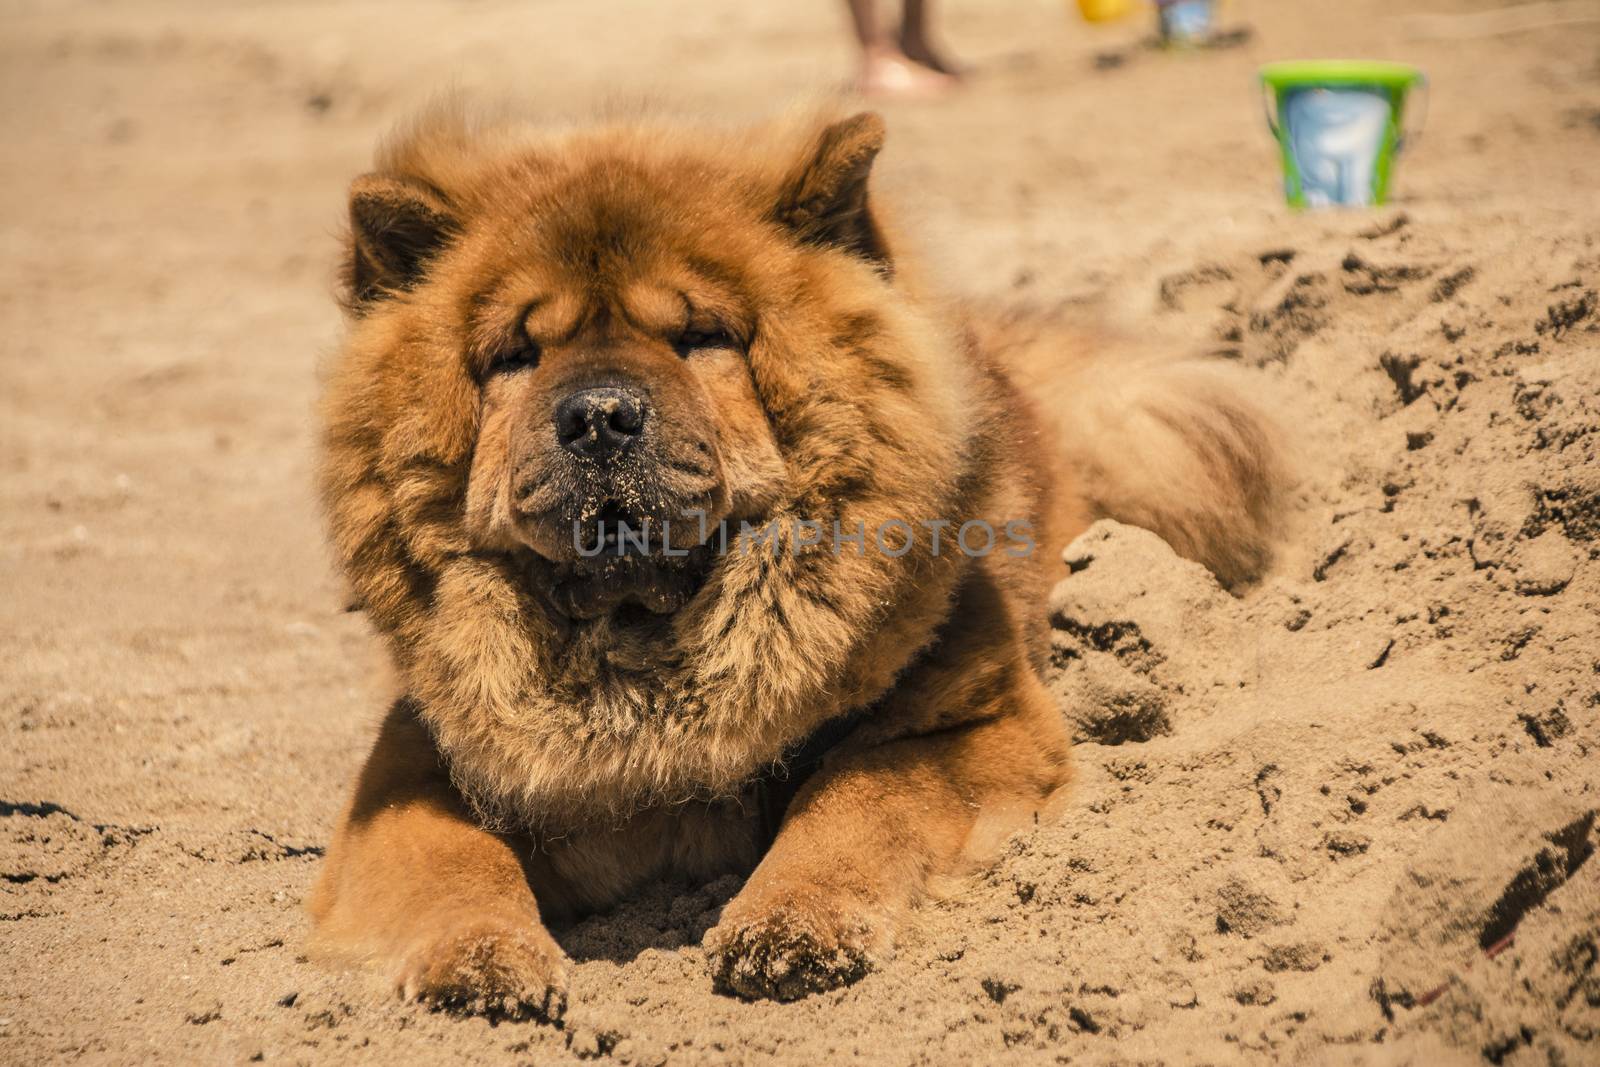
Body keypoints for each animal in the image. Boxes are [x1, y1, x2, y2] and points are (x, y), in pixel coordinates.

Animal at [308, 103, 1286, 1023]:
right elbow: (457, 856)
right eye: (517, 355)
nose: (598, 415)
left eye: (701, 337)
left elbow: (854, 792)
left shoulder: (974, 721)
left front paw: (787, 926)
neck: (642, 656)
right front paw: (478, 960)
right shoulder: (411, 770)